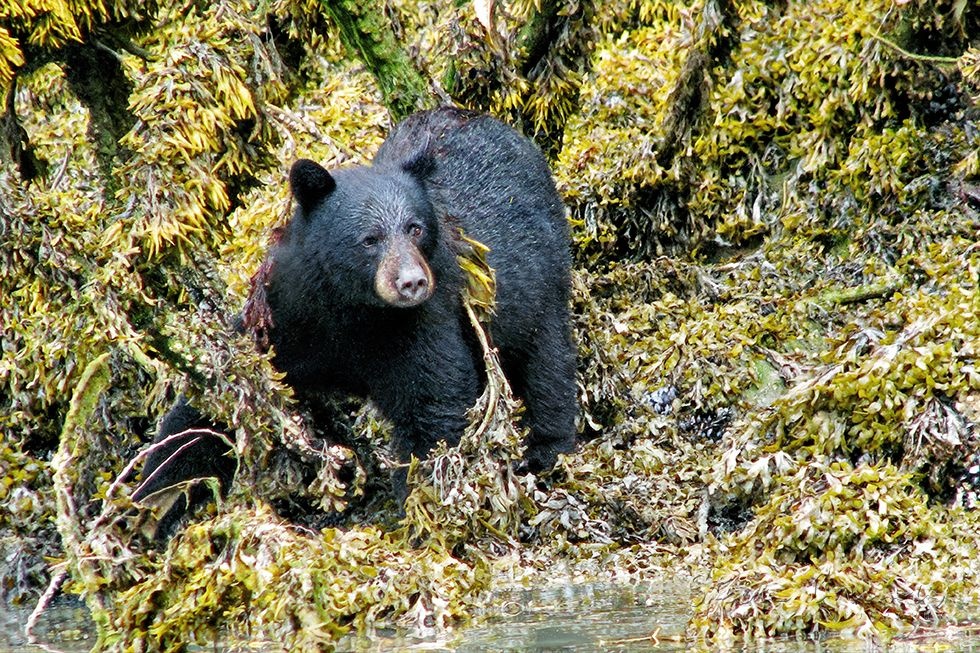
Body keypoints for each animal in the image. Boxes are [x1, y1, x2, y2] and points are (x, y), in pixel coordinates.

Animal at [133, 107, 578, 533]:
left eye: (415, 228)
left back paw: (547, 449)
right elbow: (219, 397)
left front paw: (422, 511)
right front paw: (151, 498)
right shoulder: (286, 312)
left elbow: (433, 402)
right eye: (369, 239)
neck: (351, 307)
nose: (412, 282)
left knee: (548, 361)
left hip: (540, 277)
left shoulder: (418, 323)